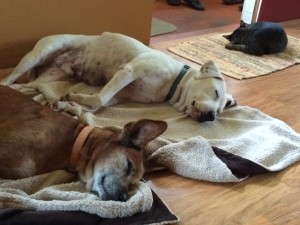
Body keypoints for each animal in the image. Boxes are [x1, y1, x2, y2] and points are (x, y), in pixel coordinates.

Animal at [0, 32, 234, 121]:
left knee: (30, 85)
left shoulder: (121, 95)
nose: (211, 117)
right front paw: (74, 98)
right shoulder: (128, 71)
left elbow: (97, 104)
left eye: (220, 111)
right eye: (215, 92)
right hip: (38, 54)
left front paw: (68, 104)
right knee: (8, 80)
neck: (173, 83)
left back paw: (23, 91)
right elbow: (99, 97)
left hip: (52, 75)